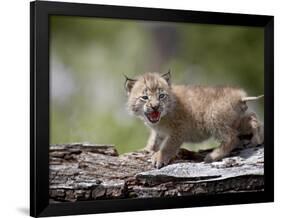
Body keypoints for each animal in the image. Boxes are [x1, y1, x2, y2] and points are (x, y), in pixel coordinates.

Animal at [124, 71, 262, 169]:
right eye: (145, 97)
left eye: (161, 96)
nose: (155, 106)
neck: (162, 117)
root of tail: (240, 96)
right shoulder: (159, 131)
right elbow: (154, 140)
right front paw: (146, 150)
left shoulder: (179, 129)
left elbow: (168, 145)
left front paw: (159, 158)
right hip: (235, 120)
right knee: (253, 118)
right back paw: (256, 139)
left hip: (213, 117)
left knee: (233, 138)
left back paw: (213, 156)